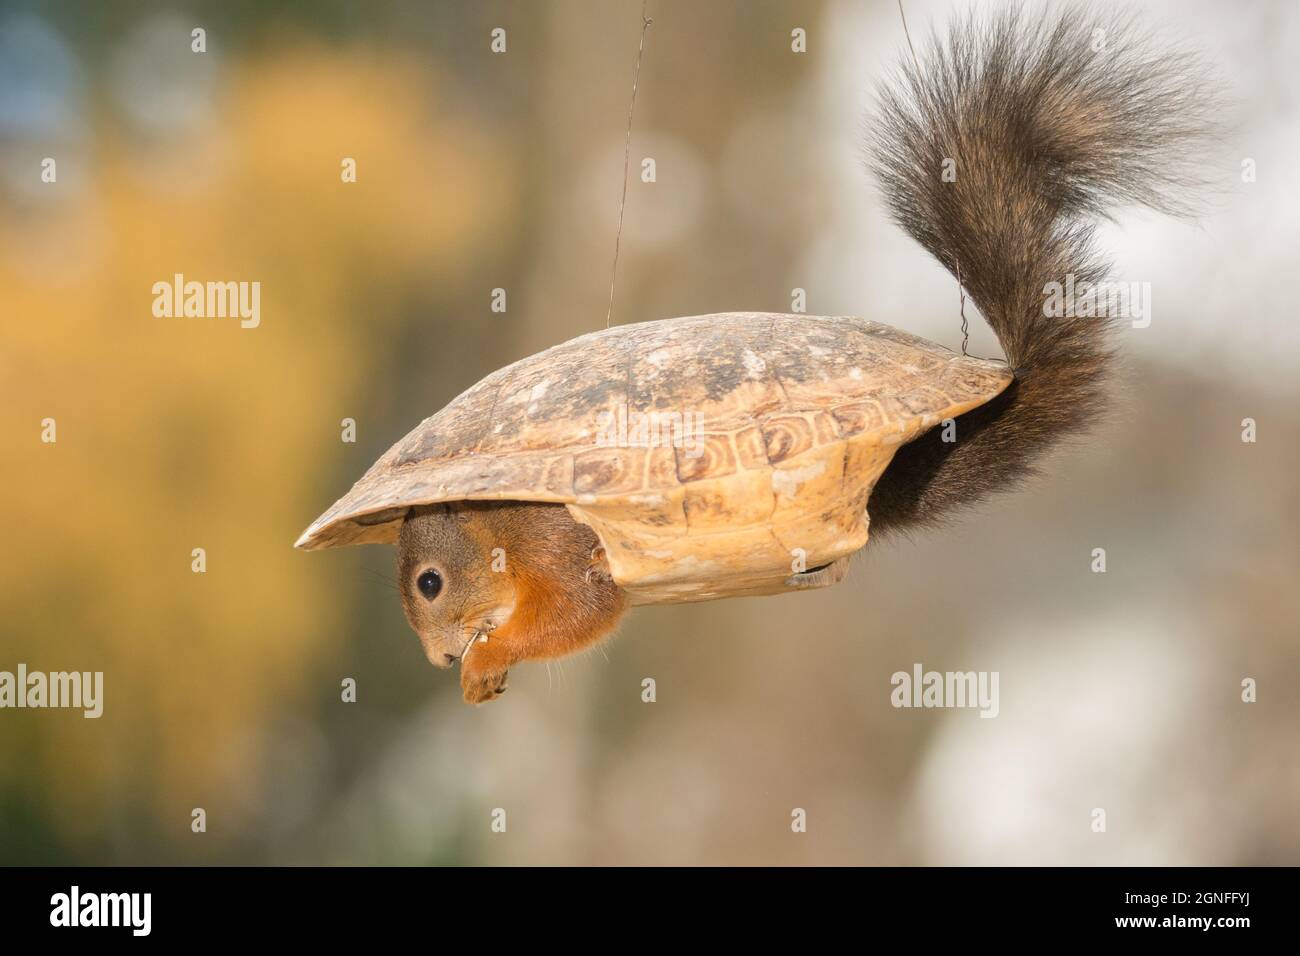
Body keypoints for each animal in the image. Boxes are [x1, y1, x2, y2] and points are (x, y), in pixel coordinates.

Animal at [398, 8, 1215, 704]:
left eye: (429, 583)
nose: (436, 660)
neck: (497, 533)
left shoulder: (559, 545)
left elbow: (584, 612)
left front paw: (486, 660)